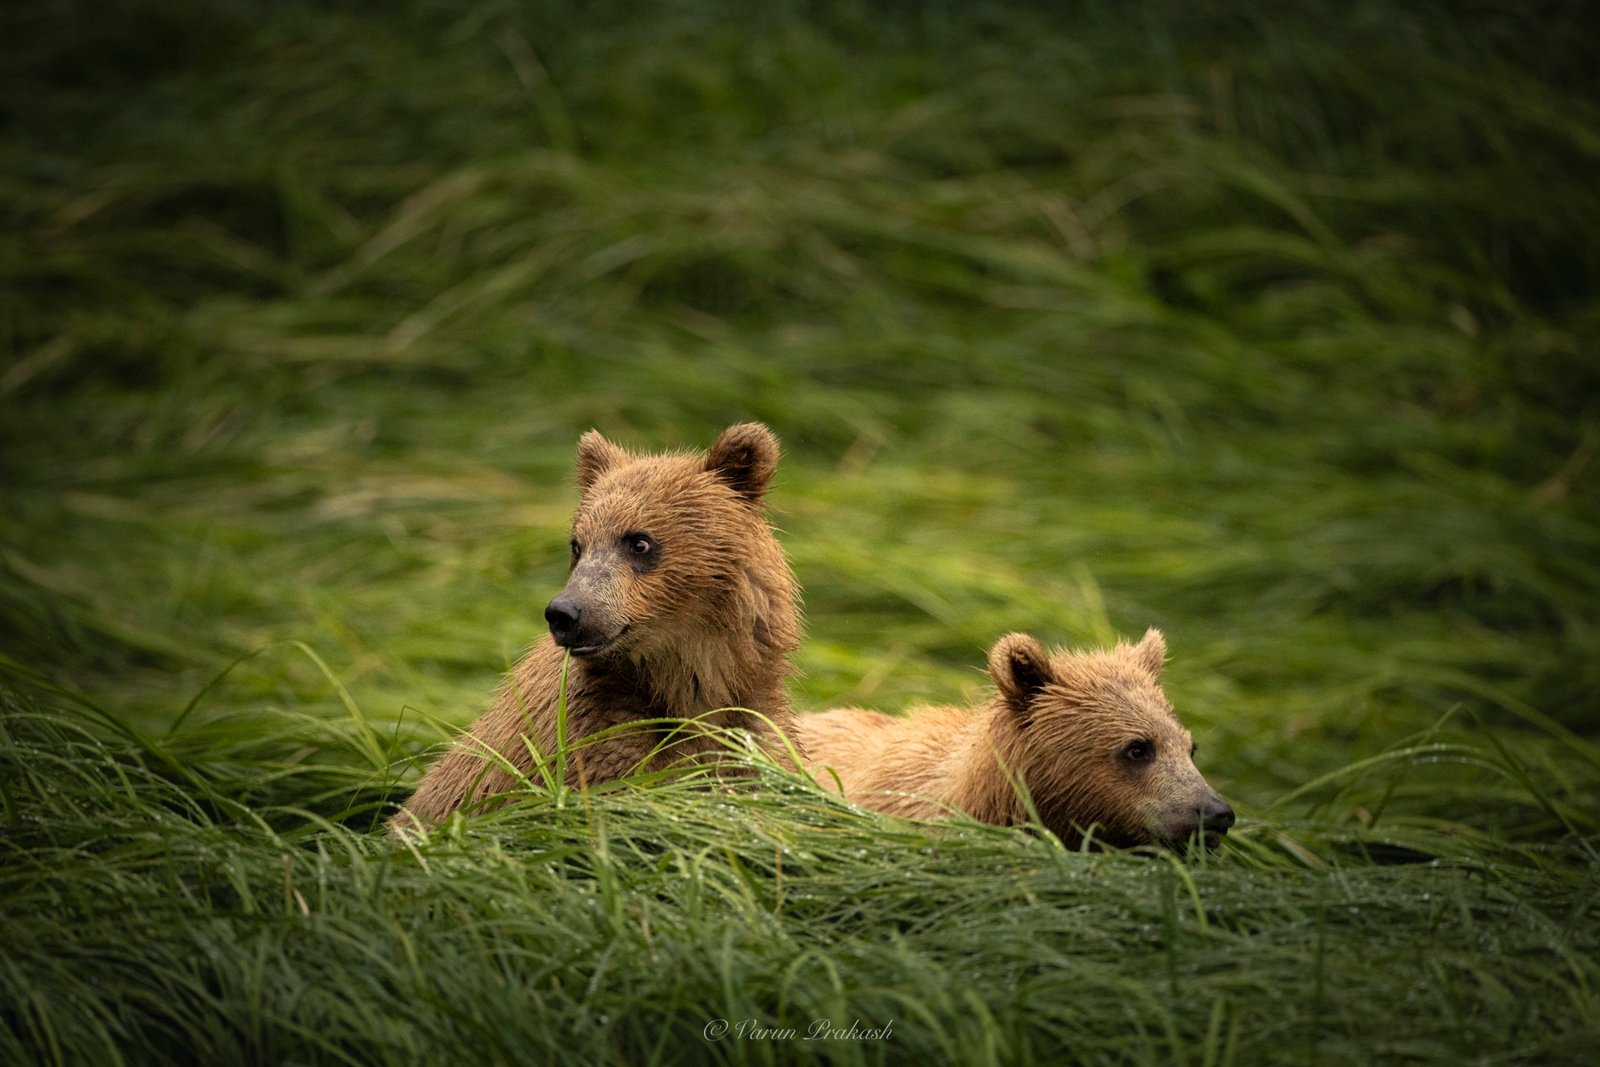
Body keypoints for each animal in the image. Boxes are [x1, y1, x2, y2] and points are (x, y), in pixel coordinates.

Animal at [392, 422, 804, 832]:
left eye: (639, 542)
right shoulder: (596, 737)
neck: (687, 682)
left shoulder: (751, 729)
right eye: (577, 546)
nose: (564, 613)